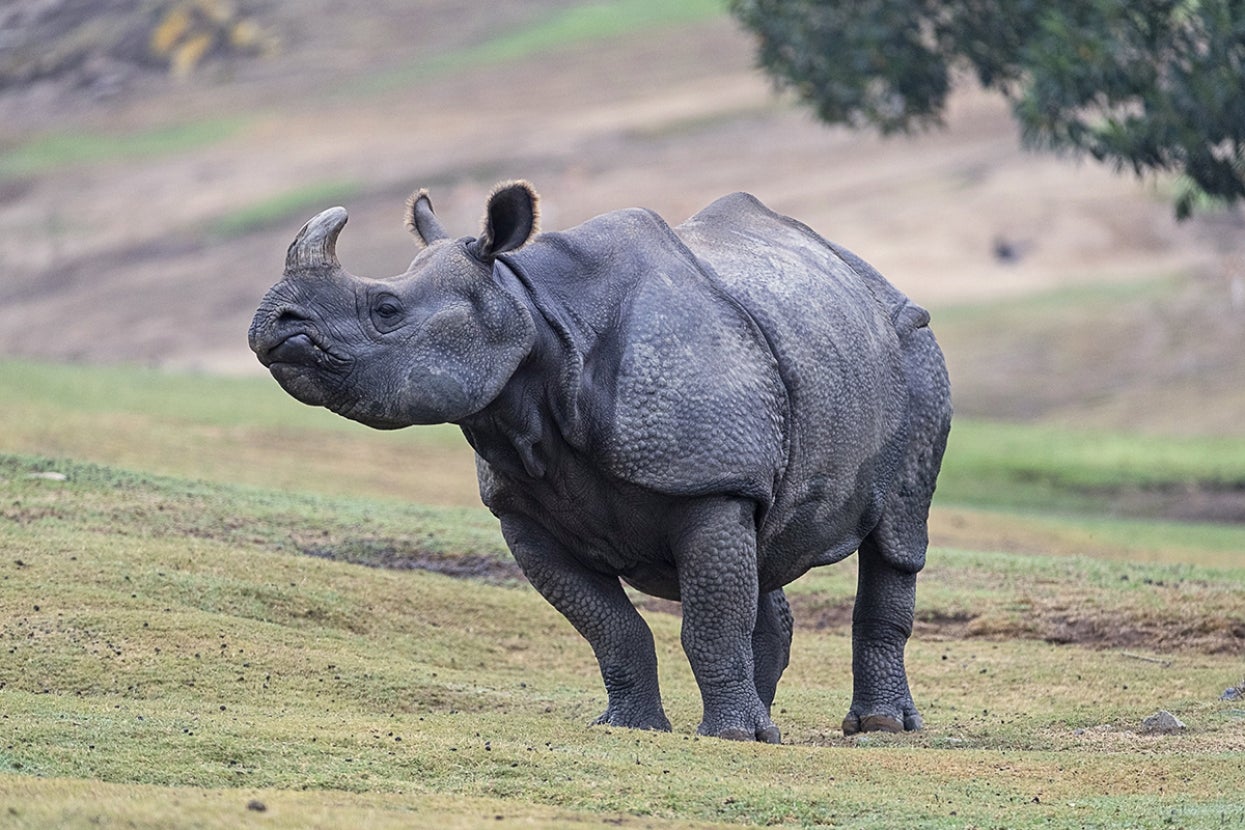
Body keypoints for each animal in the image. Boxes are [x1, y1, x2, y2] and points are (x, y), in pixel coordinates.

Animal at [249, 181, 951, 743]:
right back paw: (770, 716)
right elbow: (610, 626)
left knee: (896, 536)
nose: (272, 326)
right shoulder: (526, 513)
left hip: (917, 354)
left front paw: (733, 739)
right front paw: (632, 727)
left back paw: (876, 727)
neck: (534, 312)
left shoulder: (707, 479)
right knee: (763, 543)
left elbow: (708, 620)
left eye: (386, 309)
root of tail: (874, 278)